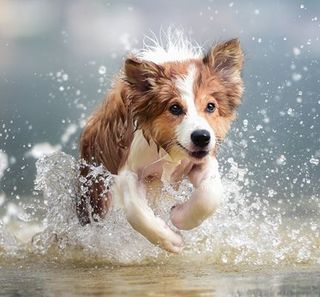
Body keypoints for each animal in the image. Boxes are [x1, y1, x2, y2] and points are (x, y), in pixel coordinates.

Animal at [76, 30, 244, 252]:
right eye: (174, 108)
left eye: (210, 106)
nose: (201, 137)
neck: (166, 150)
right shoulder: (129, 169)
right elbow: (136, 212)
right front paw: (171, 240)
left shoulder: (201, 161)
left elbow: (210, 195)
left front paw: (178, 216)